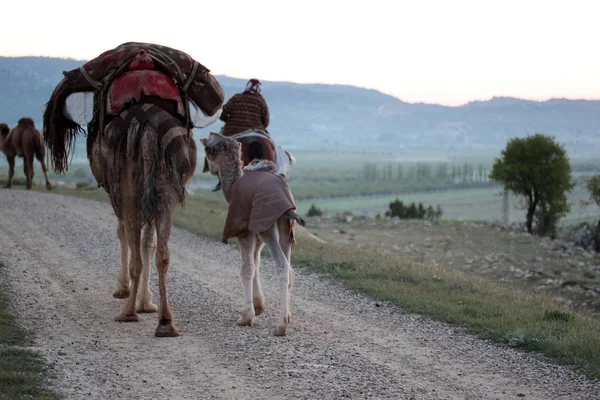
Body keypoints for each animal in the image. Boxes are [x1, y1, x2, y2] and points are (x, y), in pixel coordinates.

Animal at [42, 43, 225, 338]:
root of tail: (147, 123)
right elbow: (149, 241)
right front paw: (146, 301)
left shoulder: (116, 191)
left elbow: (125, 235)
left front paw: (126, 291)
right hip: (166, 189)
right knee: (162, 252)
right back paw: (165, 322)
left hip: (129, 187)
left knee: (135, 248)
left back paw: (128, 312)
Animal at [200, 131, 304, 334]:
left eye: (209, 147)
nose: (204, 138)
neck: (232, 187)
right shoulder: (255, 232)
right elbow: (256, 262)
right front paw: (258, 305)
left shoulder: (245, 231)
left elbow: (246, 268)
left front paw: (246, 316)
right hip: (285, 228)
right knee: (290, 267)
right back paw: (287, 316)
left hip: (268, 228)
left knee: (283, 267)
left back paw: (281, 326)